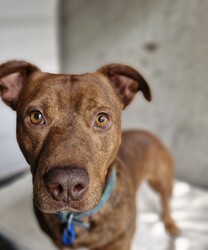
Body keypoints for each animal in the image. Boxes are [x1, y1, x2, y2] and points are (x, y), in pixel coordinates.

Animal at [0, 61, 179, 250]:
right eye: (36, 116)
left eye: (101, 119)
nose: (67, 183)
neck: (77, 219)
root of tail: (149, 134)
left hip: (162, 181)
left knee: (166, 202)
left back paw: (170, 224)